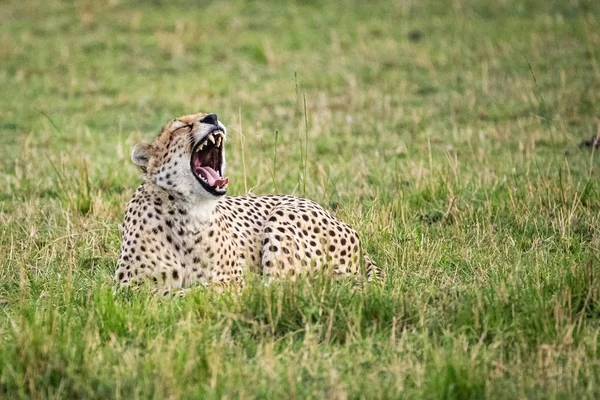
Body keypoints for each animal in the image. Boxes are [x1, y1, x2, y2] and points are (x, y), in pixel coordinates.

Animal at [116, 111, 380, 292]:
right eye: (182, 126)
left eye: (206, 115)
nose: (212, 117)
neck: (188, 213)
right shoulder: (126, 288)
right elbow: (164, 293)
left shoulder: (230, 277)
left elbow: (205, 290)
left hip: (283, 217)